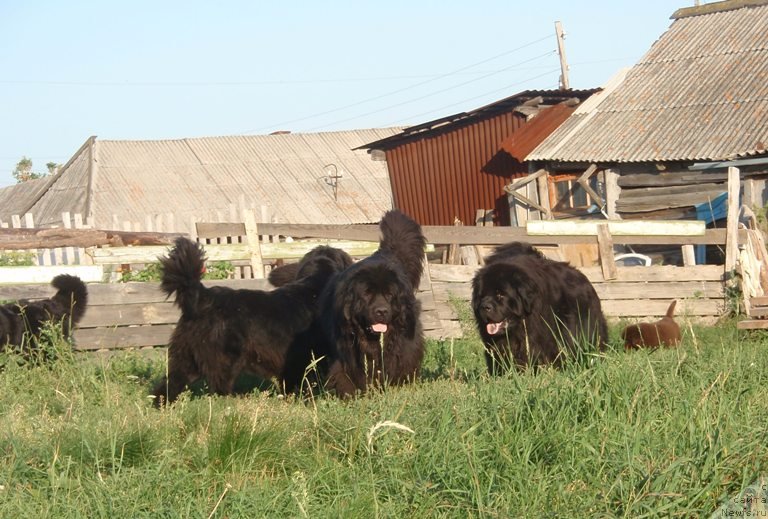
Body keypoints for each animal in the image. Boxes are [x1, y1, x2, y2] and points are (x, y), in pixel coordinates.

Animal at [152, 239, 354, 406]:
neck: (314, 285)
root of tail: (203, 298)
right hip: (225, 362)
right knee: (219, 391)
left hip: (185, 359)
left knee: (169, 385)